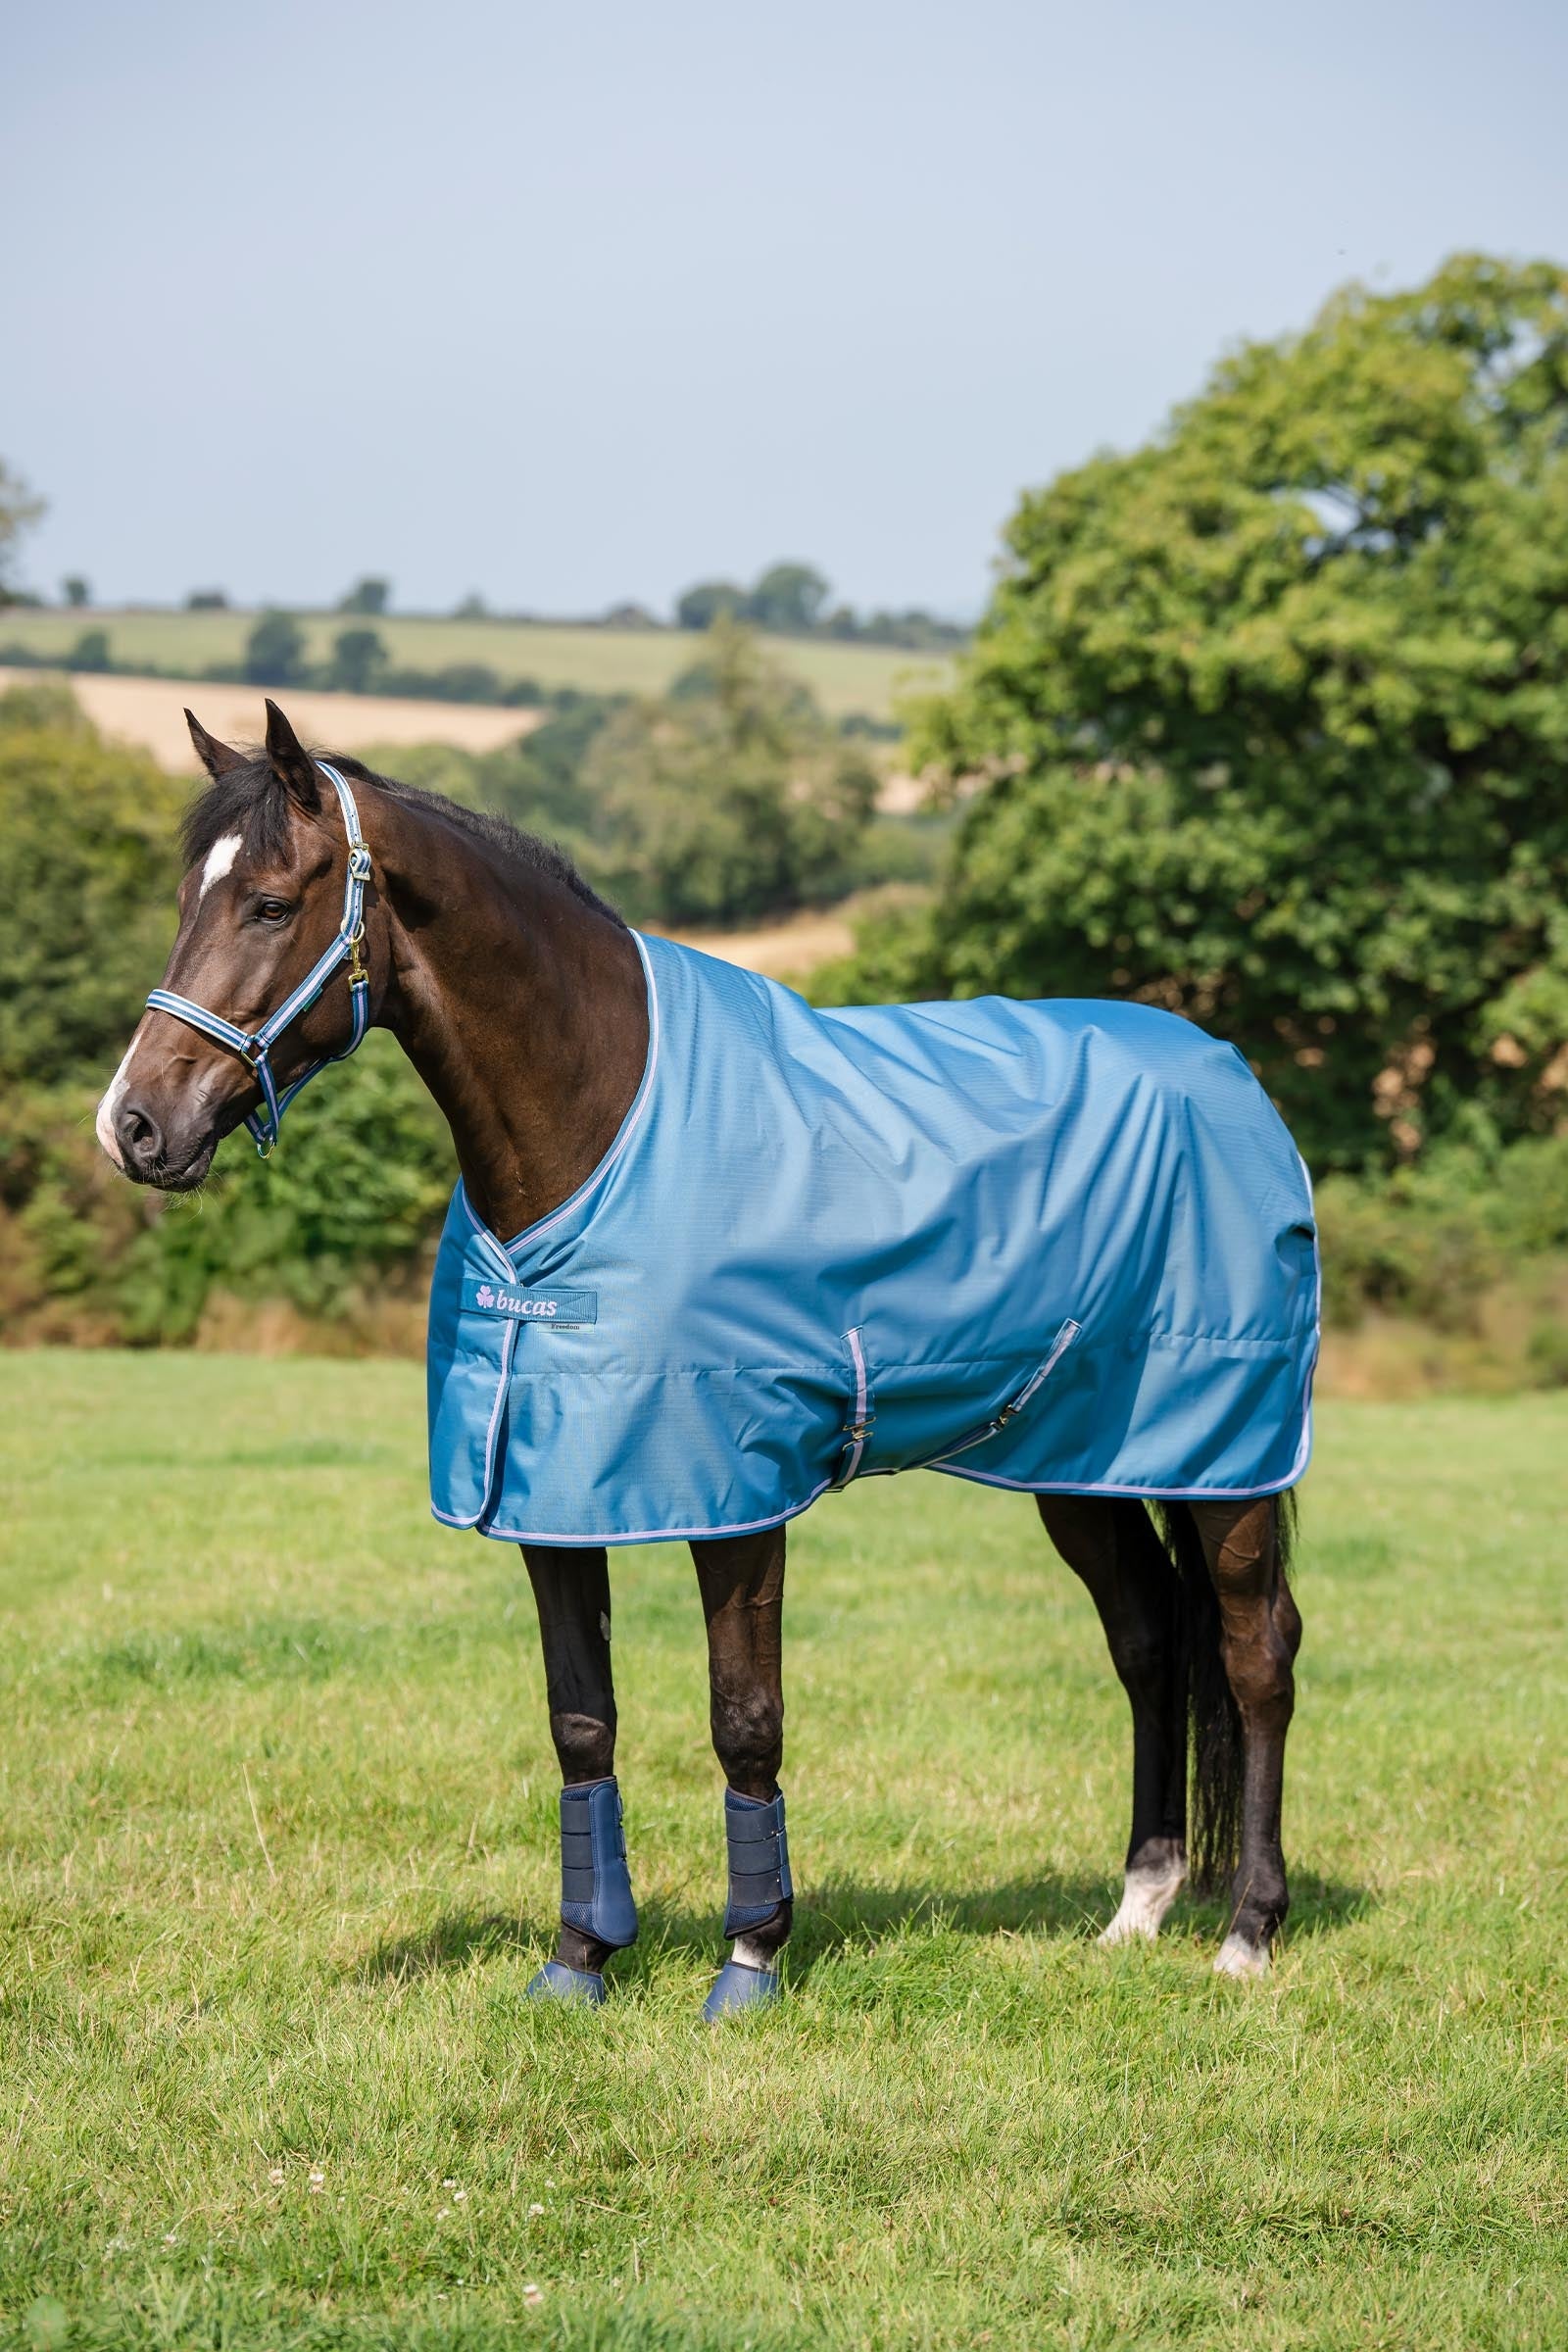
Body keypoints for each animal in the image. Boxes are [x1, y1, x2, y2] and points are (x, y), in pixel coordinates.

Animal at [96, 699, 1308, 2020]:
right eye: (186, 900)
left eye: (270, 904)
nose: (135, 1126)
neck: (602, 1125)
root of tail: (1231, 1077)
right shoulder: (551, 1495)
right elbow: (582, 1721)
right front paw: (579, 1958)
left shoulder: (737, 1497)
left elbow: (745, 1717)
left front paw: (751, 1958)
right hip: (1081, 1459)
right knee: (1147, 1642)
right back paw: (1137, 1907)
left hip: (1227, 1463)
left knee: (1253, 1655)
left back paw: (1246, 1930)